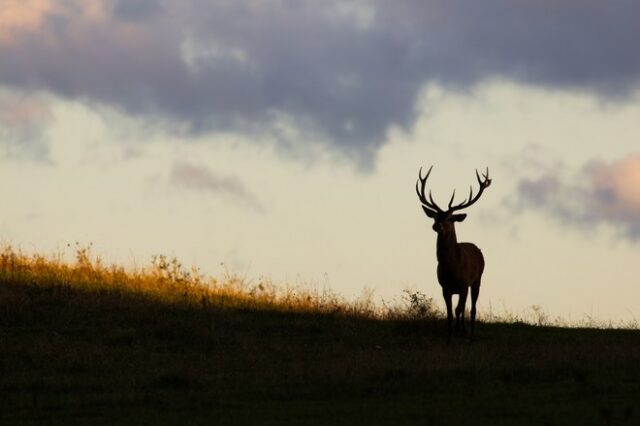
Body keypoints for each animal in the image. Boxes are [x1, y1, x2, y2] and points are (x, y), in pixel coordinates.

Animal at [418, 166, 492, 342]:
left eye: (451, 218)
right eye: (436, 216)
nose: (437, 225)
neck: (452, 268)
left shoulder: (464, 285)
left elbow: (460, 310)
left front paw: (461, 332)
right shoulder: (445, 288)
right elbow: (450, 314)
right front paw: (449, 339)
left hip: (477, 280)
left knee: (472, 309)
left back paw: (470, 336)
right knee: (463, 308)